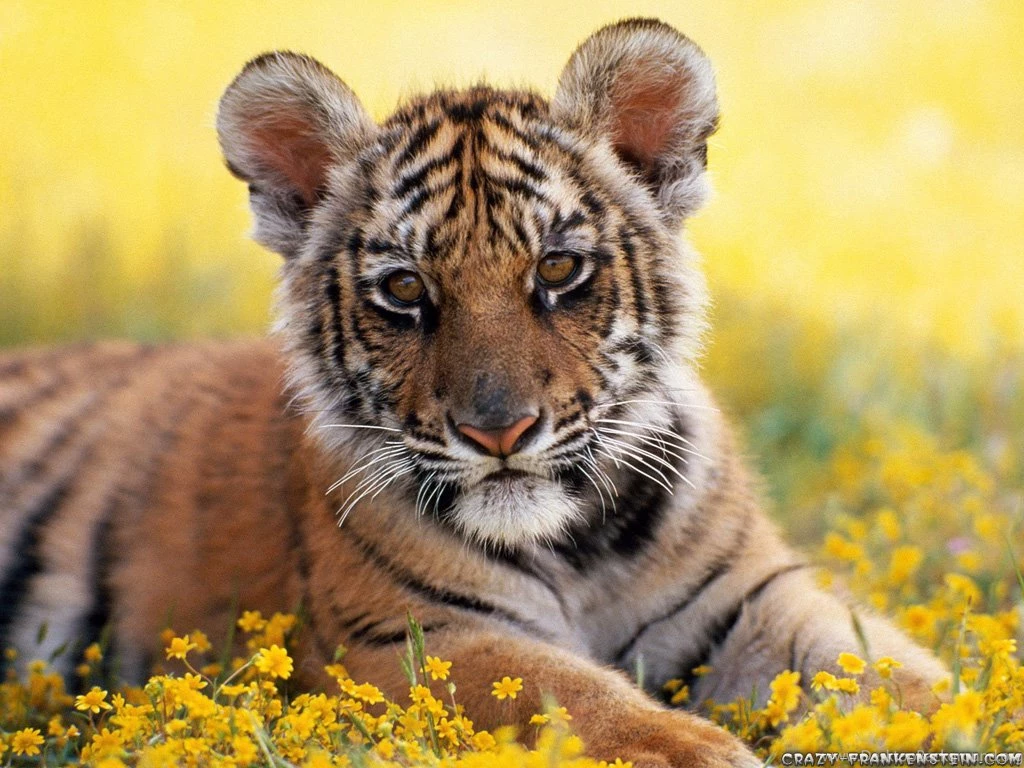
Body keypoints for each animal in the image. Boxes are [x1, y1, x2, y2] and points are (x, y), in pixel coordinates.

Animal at [0, 18, 947, 767]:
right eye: (405, 289)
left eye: (558, 270)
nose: (499, 432)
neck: (579, 547)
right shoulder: (412, 638)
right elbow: (573, 694)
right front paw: (702, 752)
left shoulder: (748, 597)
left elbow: (895, 673)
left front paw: (952, 720)